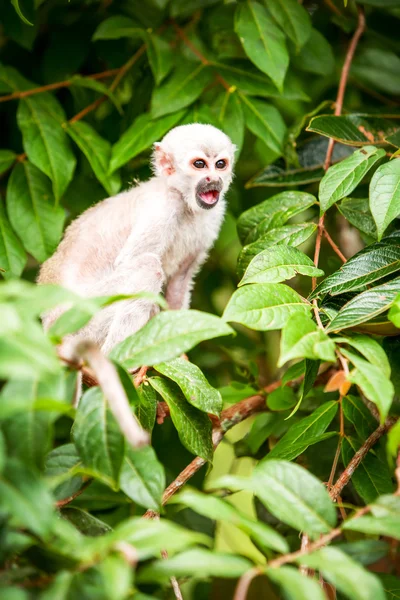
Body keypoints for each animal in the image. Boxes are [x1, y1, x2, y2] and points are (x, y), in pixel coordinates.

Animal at [38, 122, 236, 356]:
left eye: (220, 164)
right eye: (200, 164)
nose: (213, 179)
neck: (183, 200)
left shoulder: (214, 215)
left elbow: (180, 279)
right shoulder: (163, 206)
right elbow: (130, 261)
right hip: (78, 318)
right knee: (148, 266)